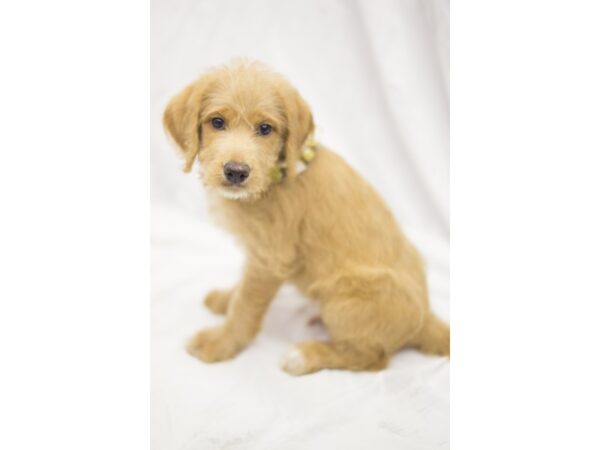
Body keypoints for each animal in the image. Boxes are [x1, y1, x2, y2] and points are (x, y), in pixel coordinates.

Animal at [164, 60, 450, 376]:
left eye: (265, 129)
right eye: (216, 122)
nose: (236, 172)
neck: (275, 177)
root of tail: (426, 317)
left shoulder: (270, 258)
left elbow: (246, 306)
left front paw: (220, 342)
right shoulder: (257, 253)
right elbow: (241, 289)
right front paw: (225, 299)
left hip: (344, 298)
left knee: (372, 358)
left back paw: (306, 355)